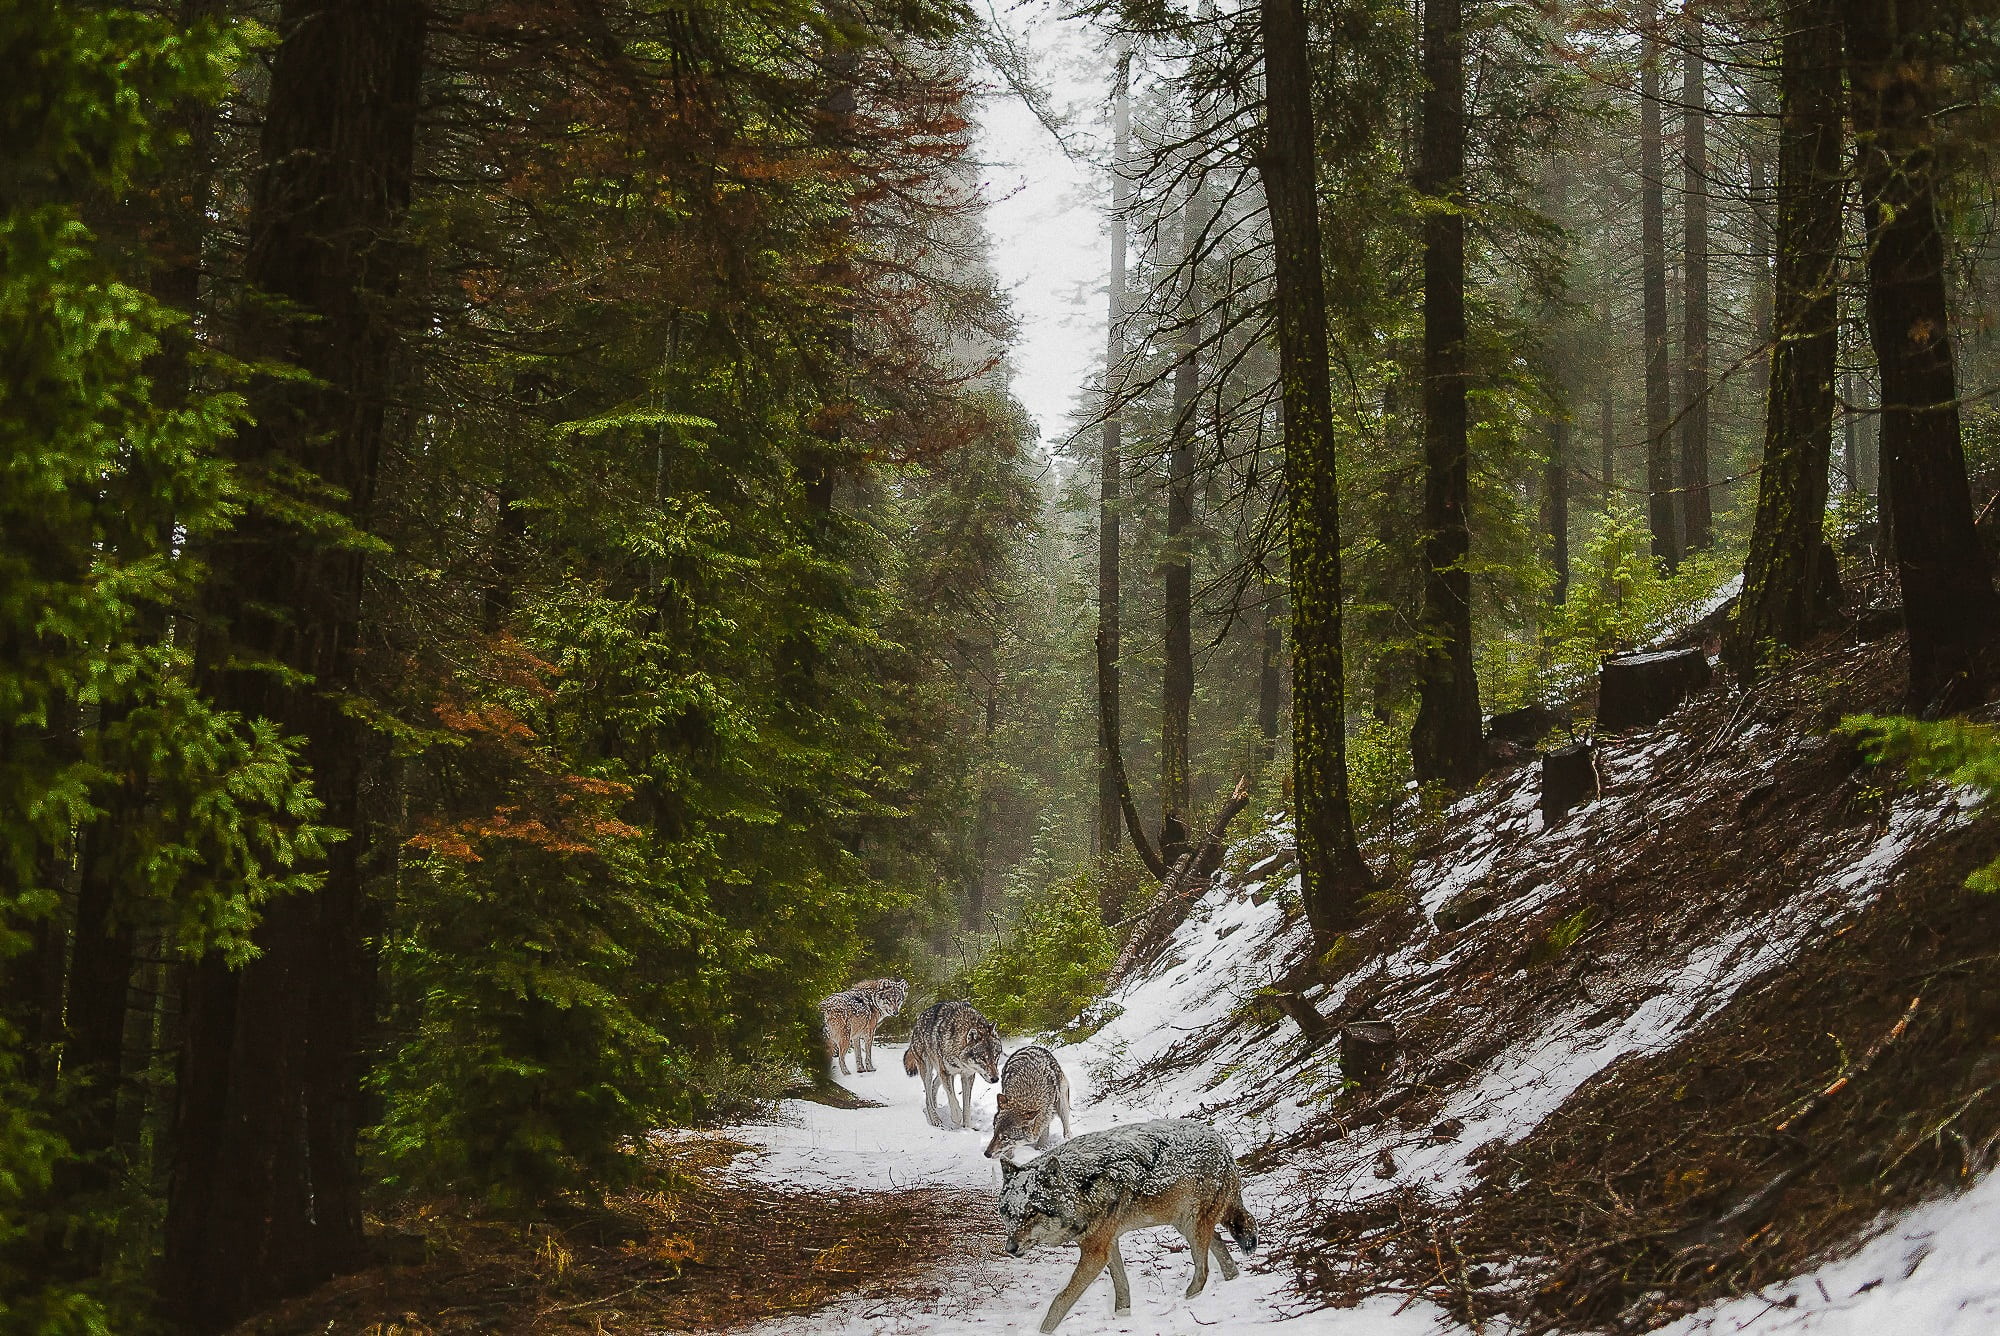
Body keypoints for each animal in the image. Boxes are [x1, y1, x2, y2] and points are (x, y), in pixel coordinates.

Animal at [901, 999, 1001, 1129]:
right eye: (983, 1058)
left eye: (996, 1056)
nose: (995, 1079)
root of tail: (917, 1022)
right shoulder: (947, 1073)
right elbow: (953, 1099)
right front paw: (956, 1117)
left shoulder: (967, 1075)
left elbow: (967, 1105)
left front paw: (967, 1127)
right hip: (928, 1070)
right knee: (928, 1095)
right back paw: (935, 1118)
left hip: (940, 1071)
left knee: (934, 1086)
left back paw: (936, 1106)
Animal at [996, 1118, 1258, 1333]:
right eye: (1008, 1212)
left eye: (1031, 1213)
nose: (1010, 1248)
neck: (1082, 1189)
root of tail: (1222, 1142)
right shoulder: (1107, 1244)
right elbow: (1121, 1285)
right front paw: (1122, 1316)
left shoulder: (1095, 1253)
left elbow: (1060, 1301)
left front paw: (1042, 1332)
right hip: (1185, 1225)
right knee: (1221, 1245)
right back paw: (1232, 1280)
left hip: (1193, 1228)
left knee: (1203, 1271)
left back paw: (1186, 1301)